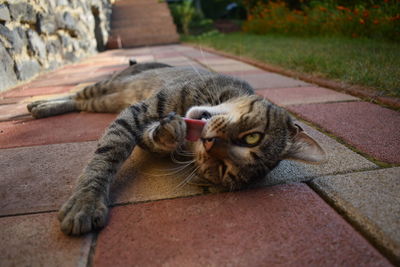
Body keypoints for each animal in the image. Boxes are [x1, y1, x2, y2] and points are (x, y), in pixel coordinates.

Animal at [28, 61, 328, 236]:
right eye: (253, 137)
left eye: (223, 169)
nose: (210, 142)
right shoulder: (138, 112)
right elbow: (107, 155)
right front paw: (86, 202)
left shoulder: (143, 130)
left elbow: (153, 138)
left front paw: (170, 134)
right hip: (109, 84)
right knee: (78, 91)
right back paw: (37, 103)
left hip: (103, 102)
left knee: (80, 102)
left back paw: (44, 107)